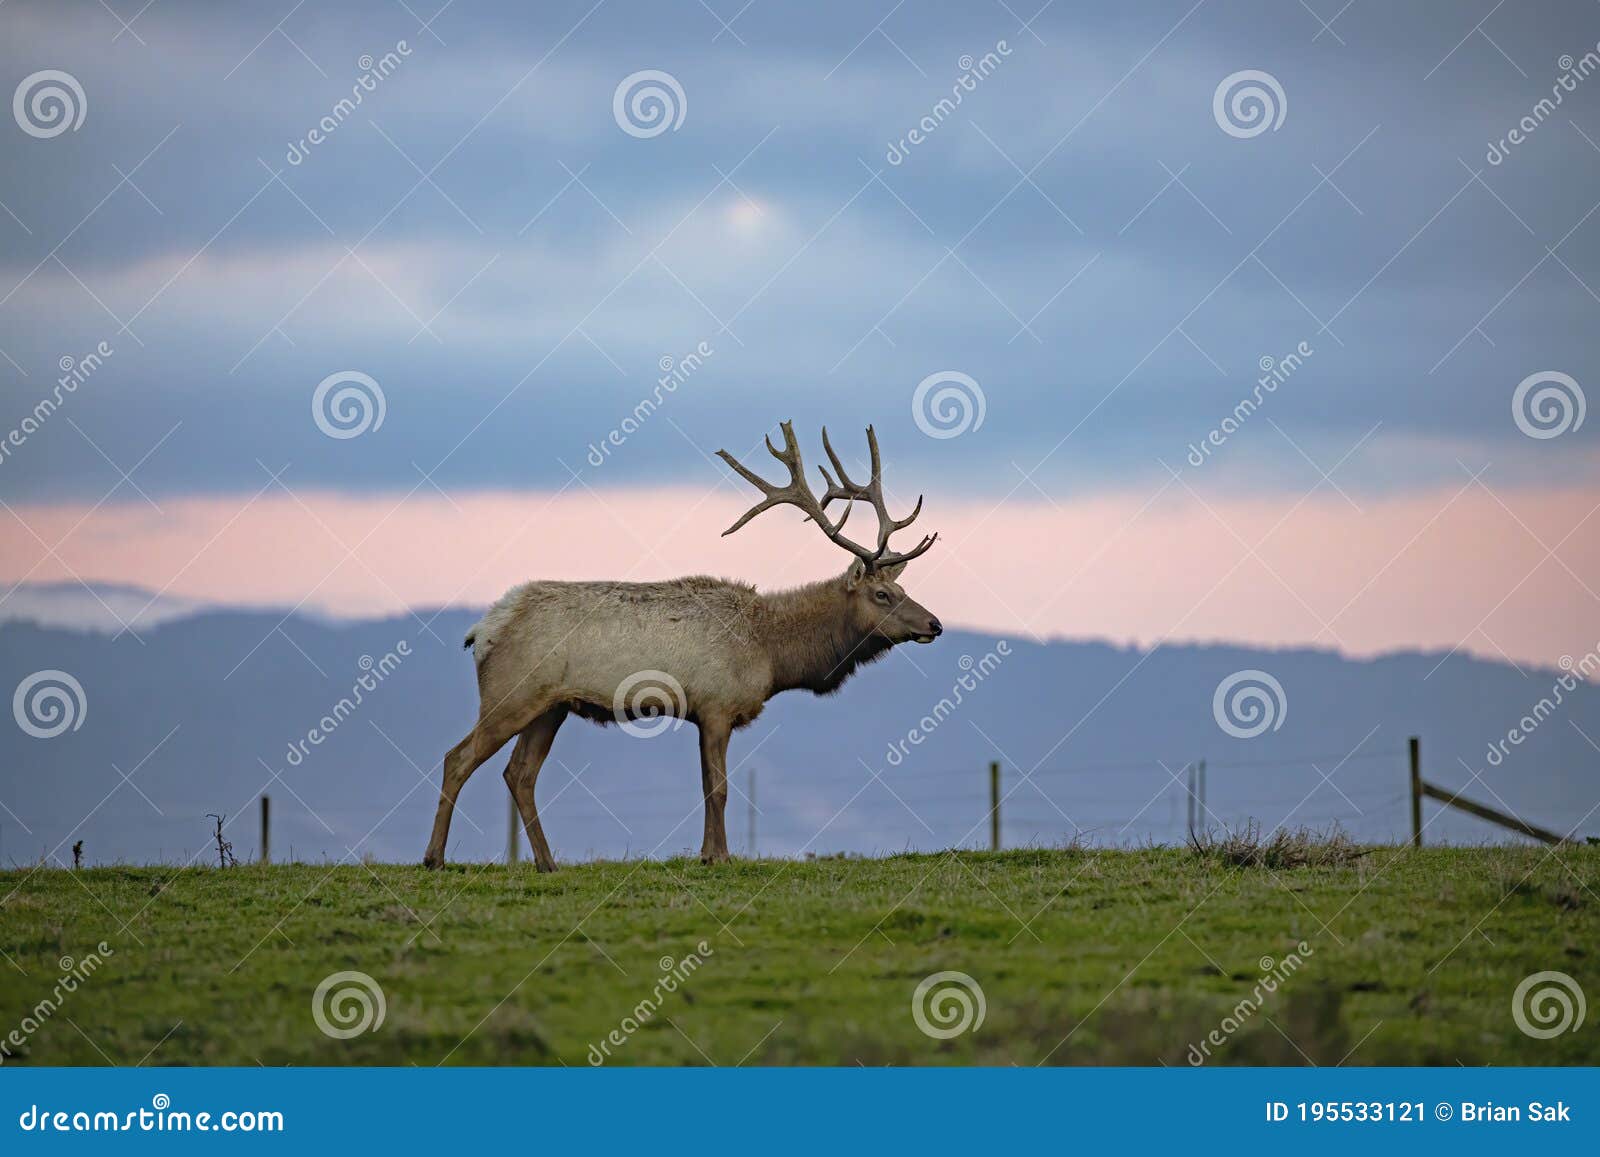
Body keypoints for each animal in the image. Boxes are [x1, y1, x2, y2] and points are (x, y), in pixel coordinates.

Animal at [425, 422, 947, 870]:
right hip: (511, 694)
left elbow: (706, 786)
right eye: (882, 595)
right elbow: (719, 788)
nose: (935, 623)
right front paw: (719, 856)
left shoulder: (701, 711)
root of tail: (482, 630)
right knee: (458, 758)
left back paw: (547, 863)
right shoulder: (716, 705)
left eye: (902, 588)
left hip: (550, 706)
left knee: (520, 774)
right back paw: (435, 859)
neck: (771, 653)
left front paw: (708, 853)